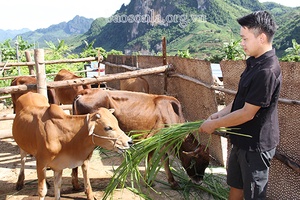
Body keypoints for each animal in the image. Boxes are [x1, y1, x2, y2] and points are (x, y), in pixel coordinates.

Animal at [72, 88, 210, 189]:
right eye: (196, 162)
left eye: (207, 163)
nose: (199, 181)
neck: (171, 114)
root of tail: (83, 93)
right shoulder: (154, 139)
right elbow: (153, 160)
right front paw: (149, 181)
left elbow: (164, 160)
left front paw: (170, 182)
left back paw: (76, 185)